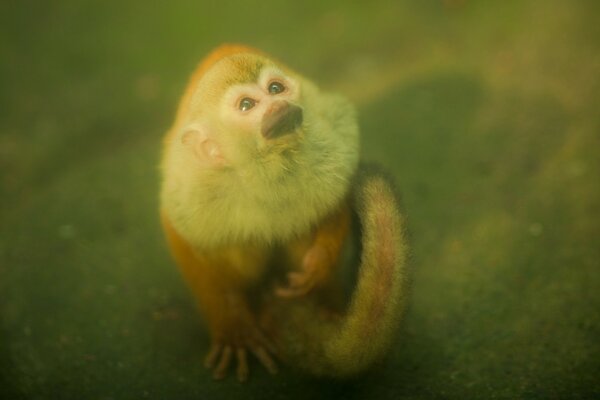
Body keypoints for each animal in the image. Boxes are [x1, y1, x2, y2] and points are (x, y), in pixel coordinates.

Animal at [159, 43, 410, 382]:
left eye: (275, 88)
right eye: (247, 105)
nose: (280, 104)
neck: (266, 166)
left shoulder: (326, 138)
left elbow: (336, 193)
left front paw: (318, 267)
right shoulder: (195, 187)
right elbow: (183, 234)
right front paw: (233, 325)